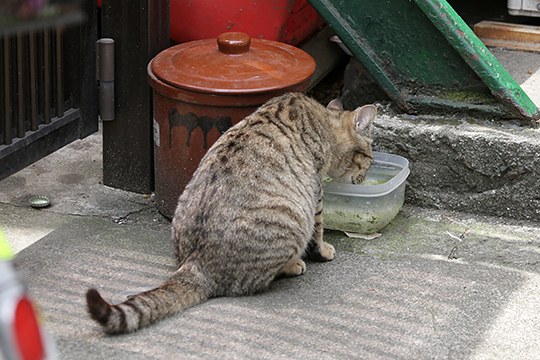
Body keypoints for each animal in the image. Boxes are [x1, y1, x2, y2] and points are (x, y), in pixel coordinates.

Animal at [86, 91, 378, 334]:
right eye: (370, 157)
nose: (364, 178)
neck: (324, 121)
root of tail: (195, 263)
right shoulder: (316, 192)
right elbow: (319, 228)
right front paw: (323, 251)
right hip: (291, 218)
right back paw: (293, 265)